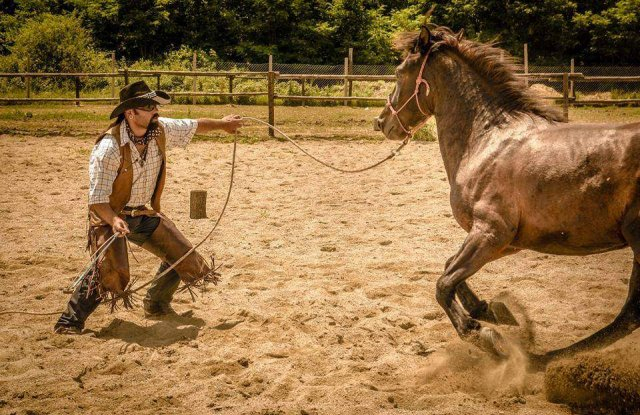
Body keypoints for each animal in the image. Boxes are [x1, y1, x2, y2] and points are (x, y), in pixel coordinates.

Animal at [372, 24, 640, 368]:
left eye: (399, 72)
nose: (382, 122)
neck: (488, 140)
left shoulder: (491, 232)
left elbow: (443, 284)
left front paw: (483, 333)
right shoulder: (510, 241)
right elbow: (450, 268)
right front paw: (490, 311)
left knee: (630, 313)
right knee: (629, 315)